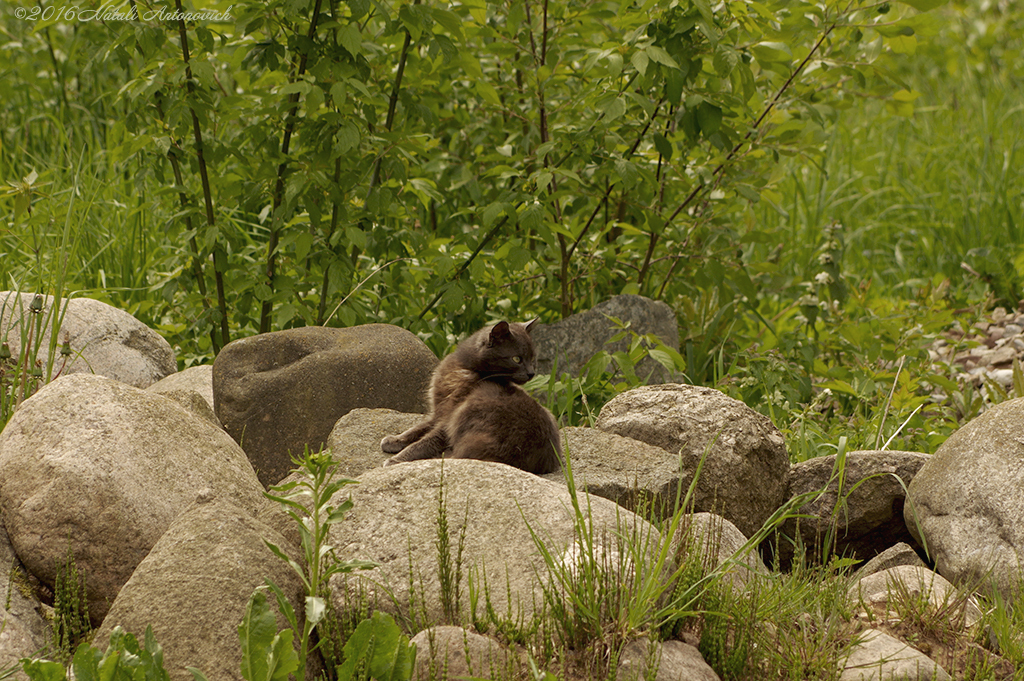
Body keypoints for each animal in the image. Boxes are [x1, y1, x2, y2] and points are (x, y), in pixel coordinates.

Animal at [382, 319, 565, 473]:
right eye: (517, 359)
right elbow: (417, 428)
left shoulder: (450, 416)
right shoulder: (439, 411)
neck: (463, 368)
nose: (531, 373)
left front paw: (397, 460)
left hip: (471, 408)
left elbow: (425, 441)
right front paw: (394, 440)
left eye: (533, 358)